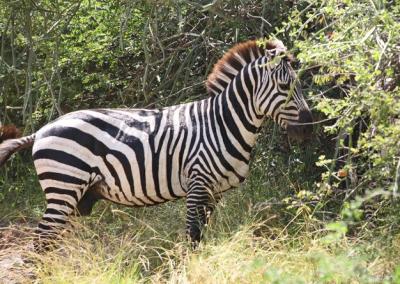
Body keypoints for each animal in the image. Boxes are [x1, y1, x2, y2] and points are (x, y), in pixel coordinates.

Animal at [0, 38, 312, 248]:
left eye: (299, 84)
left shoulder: (215, 192)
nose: (309, 126)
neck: (223, 124)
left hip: (75, 194)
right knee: (42, 239)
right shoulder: (198, 184)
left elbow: (202, 236)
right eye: (285, 86)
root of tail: (42, 130)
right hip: (64, 185)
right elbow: (192, 237)